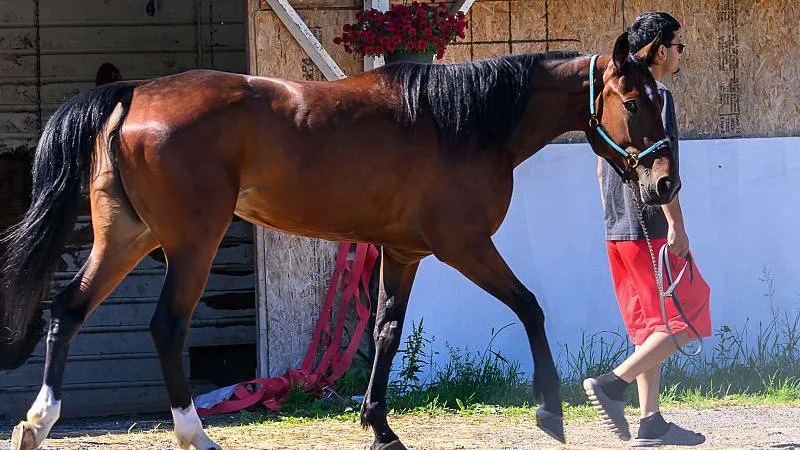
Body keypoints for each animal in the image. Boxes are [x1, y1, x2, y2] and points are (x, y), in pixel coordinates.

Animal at [1, 30, 677, 450]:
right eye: (634, 100)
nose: (665, 183)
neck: (462, 123)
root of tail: (135, 92)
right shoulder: (463, 246)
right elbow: (530, 306)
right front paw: (550, 410)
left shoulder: (403, 252)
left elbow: (385, 331)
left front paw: (379, 426)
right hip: (191, 243)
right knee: (167, 325)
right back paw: (195, 433)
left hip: (126, 236)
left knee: (68, 311)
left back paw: (37, 422)